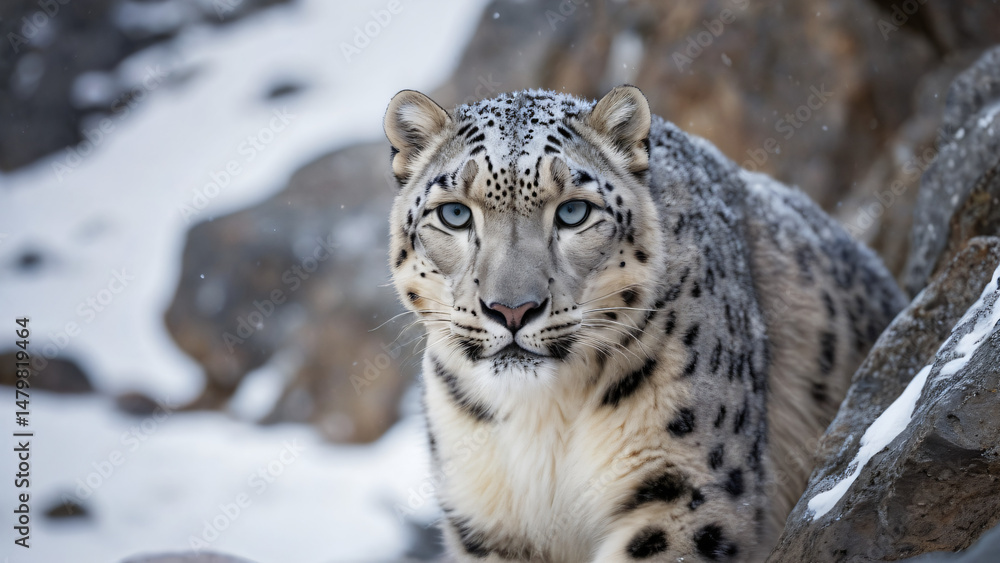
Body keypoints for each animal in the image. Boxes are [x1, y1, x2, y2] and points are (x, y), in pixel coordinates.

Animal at [382, 85, 906, 562]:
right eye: (454, 213)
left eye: (573, 211)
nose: (512, 308)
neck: (541, 417)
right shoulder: (489, 520)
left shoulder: (686, 489)